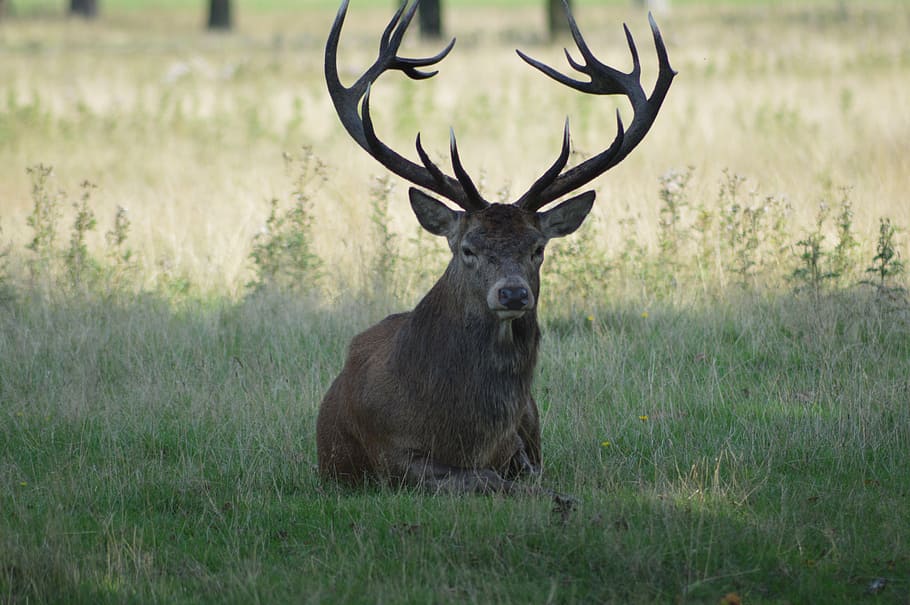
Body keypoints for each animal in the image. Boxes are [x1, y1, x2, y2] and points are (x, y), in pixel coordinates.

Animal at [316, 0, 675, 496]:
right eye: (468, 248)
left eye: (538, 248)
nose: (513, 293)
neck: (466, 435)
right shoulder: (389, 455)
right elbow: (482, 479)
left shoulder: (523, 444)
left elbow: (523, 473)